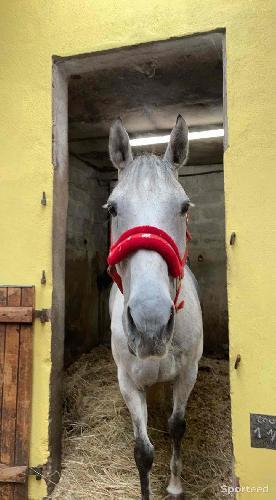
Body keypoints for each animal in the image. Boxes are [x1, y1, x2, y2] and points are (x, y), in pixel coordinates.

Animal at [105, 116, 203, 500]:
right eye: (112, 208)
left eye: (184, 207)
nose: (150, 325)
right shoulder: (128, 382)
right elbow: (143, 453)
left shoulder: (188, 372)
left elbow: (178, 426)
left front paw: (175, 485)